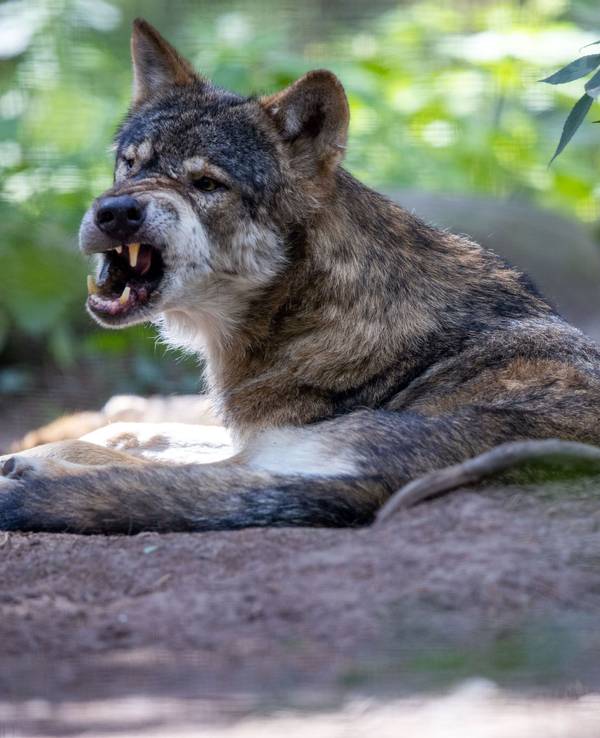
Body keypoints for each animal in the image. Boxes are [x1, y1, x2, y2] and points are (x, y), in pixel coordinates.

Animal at [2, 18, 600, 533]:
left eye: (206, 184)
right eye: (131, 163)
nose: (116, 212)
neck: (304, 307)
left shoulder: (267, 443)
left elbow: (140, 453)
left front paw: (34, 462)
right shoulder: (255, 435)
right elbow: (143, 428)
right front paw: (39, 447)